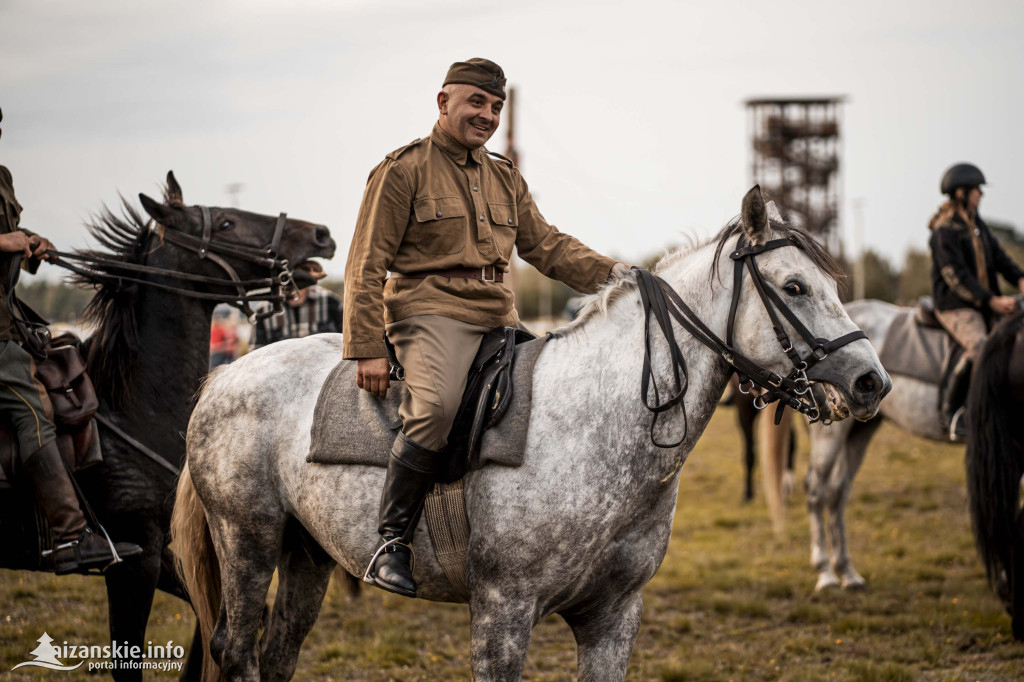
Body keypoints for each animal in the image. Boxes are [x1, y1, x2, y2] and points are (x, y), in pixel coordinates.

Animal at [169, 187, 888, 679]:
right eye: (794, 286)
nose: (870, 381)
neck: (596, 428)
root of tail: (225, 376)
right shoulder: (502, 614)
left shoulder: (612, 620)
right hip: (248, 541)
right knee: (235, 649)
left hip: (306, 553)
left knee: (277, 651)